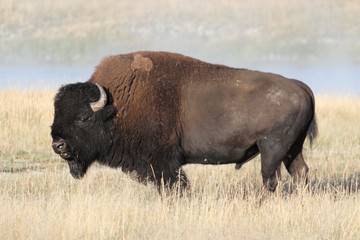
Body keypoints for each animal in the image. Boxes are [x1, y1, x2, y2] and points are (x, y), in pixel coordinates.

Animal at [51, 50, 318, 193]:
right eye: (56, 115)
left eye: (83, 118)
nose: (58, 145)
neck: (117, 105)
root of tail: (299, 86)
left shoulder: (162, 163)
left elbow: (175, 185)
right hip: (291, 148)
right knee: (299, 171)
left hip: (271, 148)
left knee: (270, 178)